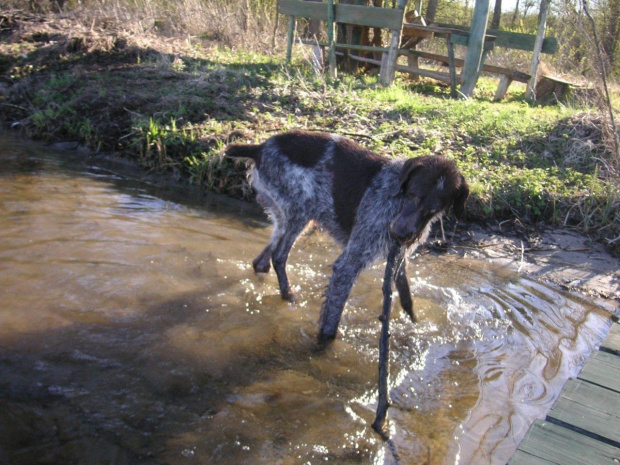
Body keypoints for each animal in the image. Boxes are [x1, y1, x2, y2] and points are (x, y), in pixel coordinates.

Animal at [225, 129, 468, 338]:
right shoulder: (348, 265)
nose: (400, 233)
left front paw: (416, 325)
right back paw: (288, 295)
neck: (395, 201)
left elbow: (407, 299)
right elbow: (331, 325)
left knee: (261, 261)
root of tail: (261, 147)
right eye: (412, 194)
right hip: (300, 211)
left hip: (285, 216)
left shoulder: (398, 256)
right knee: (278, 256)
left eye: (434, 209)